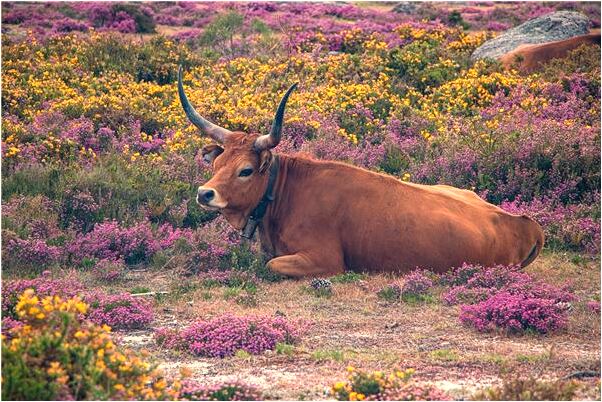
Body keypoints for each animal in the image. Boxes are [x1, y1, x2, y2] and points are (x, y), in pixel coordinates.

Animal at [175, 67, 544, 278]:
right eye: (217, 165)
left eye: (246, 170)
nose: (204, 193)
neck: (285, 197)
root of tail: (526, 222)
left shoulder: (323, 260)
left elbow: (269, 267)